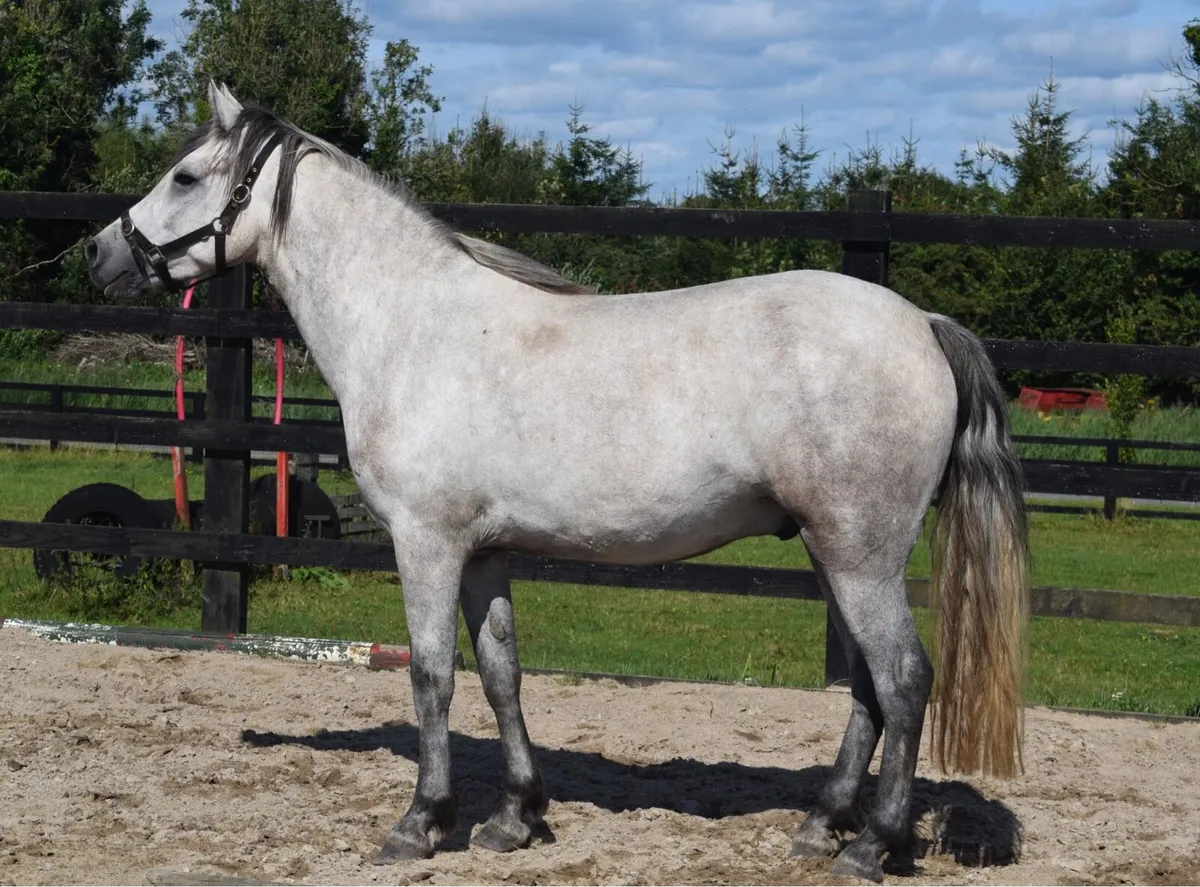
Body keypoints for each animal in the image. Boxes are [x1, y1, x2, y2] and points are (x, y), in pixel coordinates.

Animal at [85, 82, 1029, 883]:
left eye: (185, 176)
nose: (98, 254)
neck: (411, 326)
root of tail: (922, 324)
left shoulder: (426, 542)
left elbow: (431, 675)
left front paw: (421, 822)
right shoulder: (484, 551)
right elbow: (502, 672)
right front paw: (516, 817)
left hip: (861, 555)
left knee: (903, 679)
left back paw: (872, 844)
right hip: (836, 554)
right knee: (870, 688)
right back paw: (819, 825)